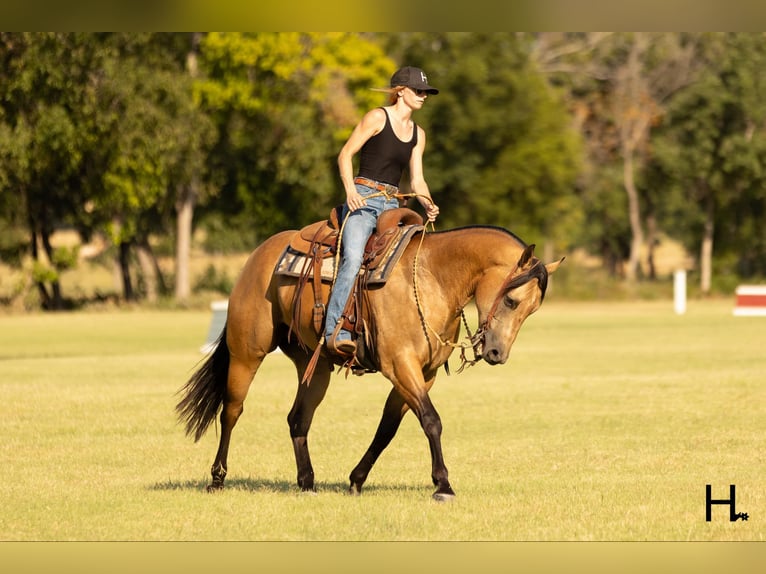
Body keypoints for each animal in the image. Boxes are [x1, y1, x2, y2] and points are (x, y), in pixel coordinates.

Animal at [176, 221, 563, 501]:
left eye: (531, 310)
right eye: (511, 300)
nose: (497, 354)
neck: (432, 277)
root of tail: (259, 255)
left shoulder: (423, 373)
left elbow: (388, 428)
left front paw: (356, 480)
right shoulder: (400, 366)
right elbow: (432, 420)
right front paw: (443, 485)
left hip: (314, 366)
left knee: (298, 419)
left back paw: (307, 482)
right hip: (247, 353)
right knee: (231, 411)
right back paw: (217, 478)